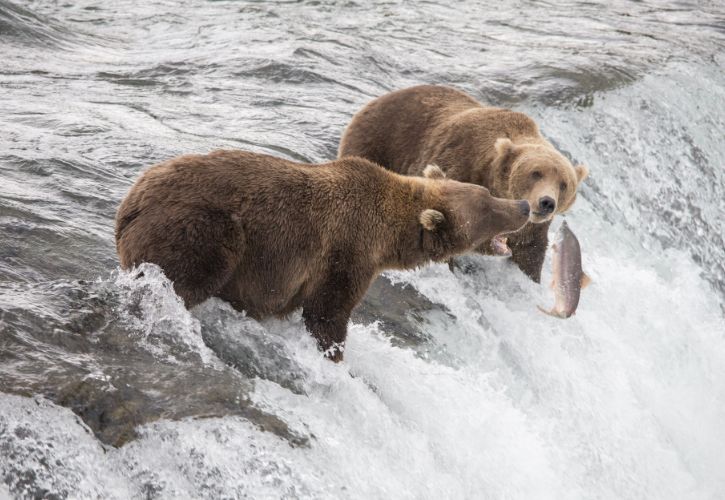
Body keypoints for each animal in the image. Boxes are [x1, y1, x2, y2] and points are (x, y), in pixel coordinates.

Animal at [116, 150, 531, 361]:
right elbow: (327, 312)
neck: (388, 235)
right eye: (486, 208)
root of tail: (129, 204)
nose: (524, 206)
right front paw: (333, 352)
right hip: (202, 229)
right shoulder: (344, 252)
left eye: (486, 193)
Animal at [338, 85, 589, 282]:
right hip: (378, 142)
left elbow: (528, 254)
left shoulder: (533, 230)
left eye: (564, 184)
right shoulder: (458, 164)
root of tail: (380, 98)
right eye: (536, 173)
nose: (547, 202)